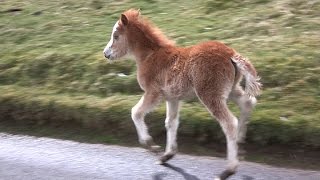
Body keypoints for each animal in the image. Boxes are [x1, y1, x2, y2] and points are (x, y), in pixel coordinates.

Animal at [104, 8, 262, 180]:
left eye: (116, 36)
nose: (106, 53)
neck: (149, 56)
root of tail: (231, 54)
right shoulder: (172, 97)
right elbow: (171, 122)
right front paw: (167, 155)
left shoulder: (154, 93)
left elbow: (136, 112)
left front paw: (151, 145)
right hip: (232, 88)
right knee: (248, 103)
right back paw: (241, 145)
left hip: (210, 94)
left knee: (230, 122)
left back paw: (228, 170)